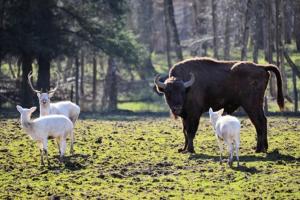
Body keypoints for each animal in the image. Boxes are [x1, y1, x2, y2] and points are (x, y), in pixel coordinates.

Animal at [155, 57, 284, 154]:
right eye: (168, 92)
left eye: (182, 91)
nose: (176, 108)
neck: (188, 88)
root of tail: (261, 67)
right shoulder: (185, 116)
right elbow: (185, 131)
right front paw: (183, 149)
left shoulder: (194, 114)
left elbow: (191, 131)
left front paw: (191, 150)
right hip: (257, 105)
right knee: (263, 121)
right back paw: (263, 148)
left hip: (251, 105)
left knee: (259, 122)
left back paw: (258, 149)